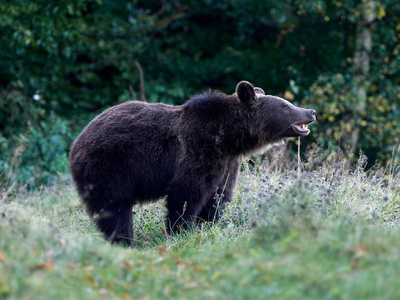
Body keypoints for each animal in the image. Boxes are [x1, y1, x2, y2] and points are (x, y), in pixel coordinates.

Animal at [70, 80, 318, 246]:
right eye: (285, 106)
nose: (311, 111)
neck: (229, 137)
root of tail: (77, 142)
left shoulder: (227, 164)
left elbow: (218, 196)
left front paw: (208, 225)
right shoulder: (197, 152)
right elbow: (187, 195)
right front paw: (181, 230)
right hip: (110, 167)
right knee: (115, 209)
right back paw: (124, 241)